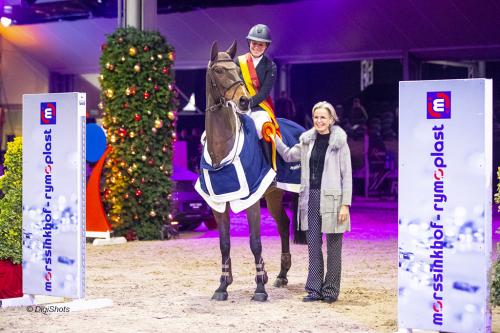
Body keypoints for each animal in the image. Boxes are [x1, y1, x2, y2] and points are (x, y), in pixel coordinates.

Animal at [199, 41, 292, 300]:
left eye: (237, 72)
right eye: (219, 70)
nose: (243, 101)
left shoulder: (251, 199)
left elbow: (255, 242)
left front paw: (260, 288)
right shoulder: (217, 203)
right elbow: (224, 243)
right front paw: (222, 286)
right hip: (273, 195)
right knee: (284, 224)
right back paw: (281, 275)